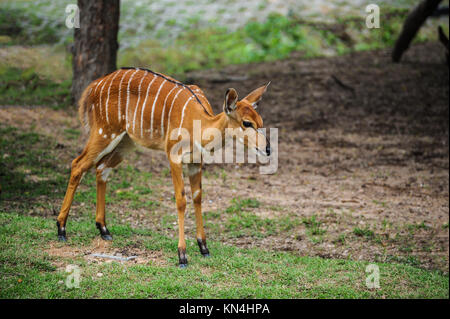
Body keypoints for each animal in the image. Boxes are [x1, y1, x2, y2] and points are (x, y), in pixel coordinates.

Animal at [55, 67, 268, 268]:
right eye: (246, 123)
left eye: (261, 122)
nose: (267, 149)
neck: (198, 125)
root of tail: (93, 87)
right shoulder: (173, 156)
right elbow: (181, 200)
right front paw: (182, 256)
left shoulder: (195, 162)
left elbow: (198, 197)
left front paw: (204, 248)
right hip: (104, 132)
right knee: (78, 164)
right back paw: (61, 229)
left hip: (125, 141)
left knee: (101, 168)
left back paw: (104, 230)